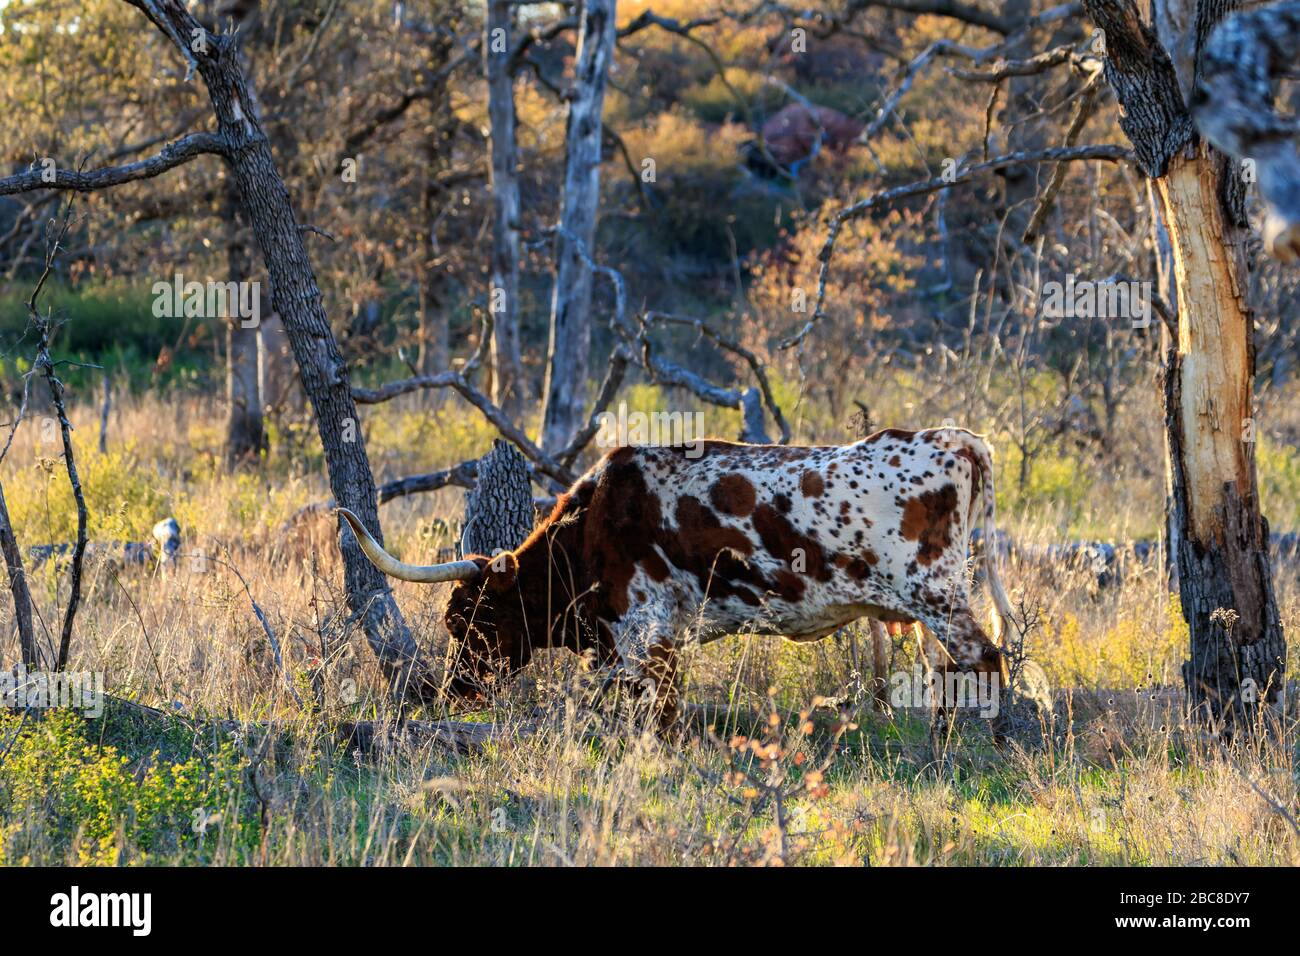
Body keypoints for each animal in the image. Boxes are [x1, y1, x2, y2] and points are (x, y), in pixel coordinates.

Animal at [335, 426, 1013, 723]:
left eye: (467, 619)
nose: (455, 691)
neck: (593, 523)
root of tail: (955, 438)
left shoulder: (646, 633)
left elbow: (659, 718)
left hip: (939, 599)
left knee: (984, 662)